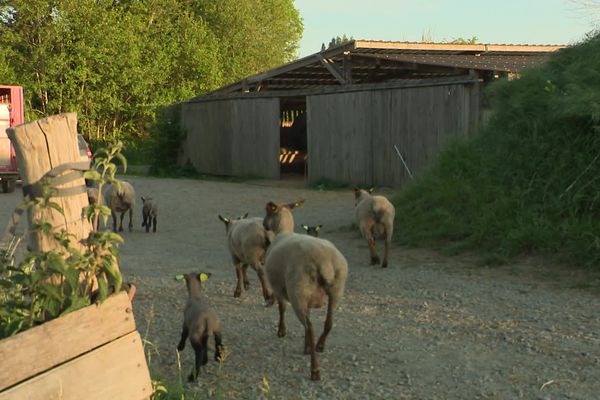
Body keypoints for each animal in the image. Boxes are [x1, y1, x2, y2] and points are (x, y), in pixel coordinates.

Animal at [264, 202, 350, 380]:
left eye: (267, 212)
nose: (263, 224)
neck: (283, 231)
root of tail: (325, 262)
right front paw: (306, 347)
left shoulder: (277, 287)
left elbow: (281, 308)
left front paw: (281, 331)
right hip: (336, 290)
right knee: (328, 322)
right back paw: (319, 346)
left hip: (298, 292)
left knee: (310, 328)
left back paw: (315, 370)